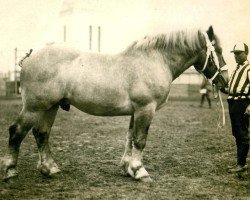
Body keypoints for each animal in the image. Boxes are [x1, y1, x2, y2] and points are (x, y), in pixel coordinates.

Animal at [0, 25, 227, 182]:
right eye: (218, 50)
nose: (225, 82)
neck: (154, 60)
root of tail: (30, 57)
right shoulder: (146, 109)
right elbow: (140, 140)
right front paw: (140, 171)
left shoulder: (136, 111)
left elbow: (130, 138)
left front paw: (128, 167)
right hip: (34, 108)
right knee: (17, 131)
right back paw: (10, 170)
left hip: (50, 107)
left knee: (42, 133)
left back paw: (50, 168)